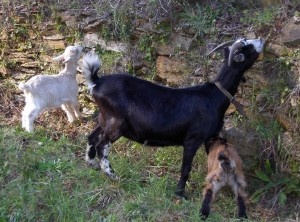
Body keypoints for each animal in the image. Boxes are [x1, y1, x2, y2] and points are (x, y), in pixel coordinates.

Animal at [81, 37, 264, 199]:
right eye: (247, 46)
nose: (261, 40)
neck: (215, 96)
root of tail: (97, 82)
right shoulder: (192, 139)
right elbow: (186, 169)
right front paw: (180, 194)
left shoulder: (210, 137)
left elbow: (215, 161)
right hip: (116, 123)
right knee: (102, 145)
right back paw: (113, 175)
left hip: (104, 118)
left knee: (91, 137)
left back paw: (92, 165)